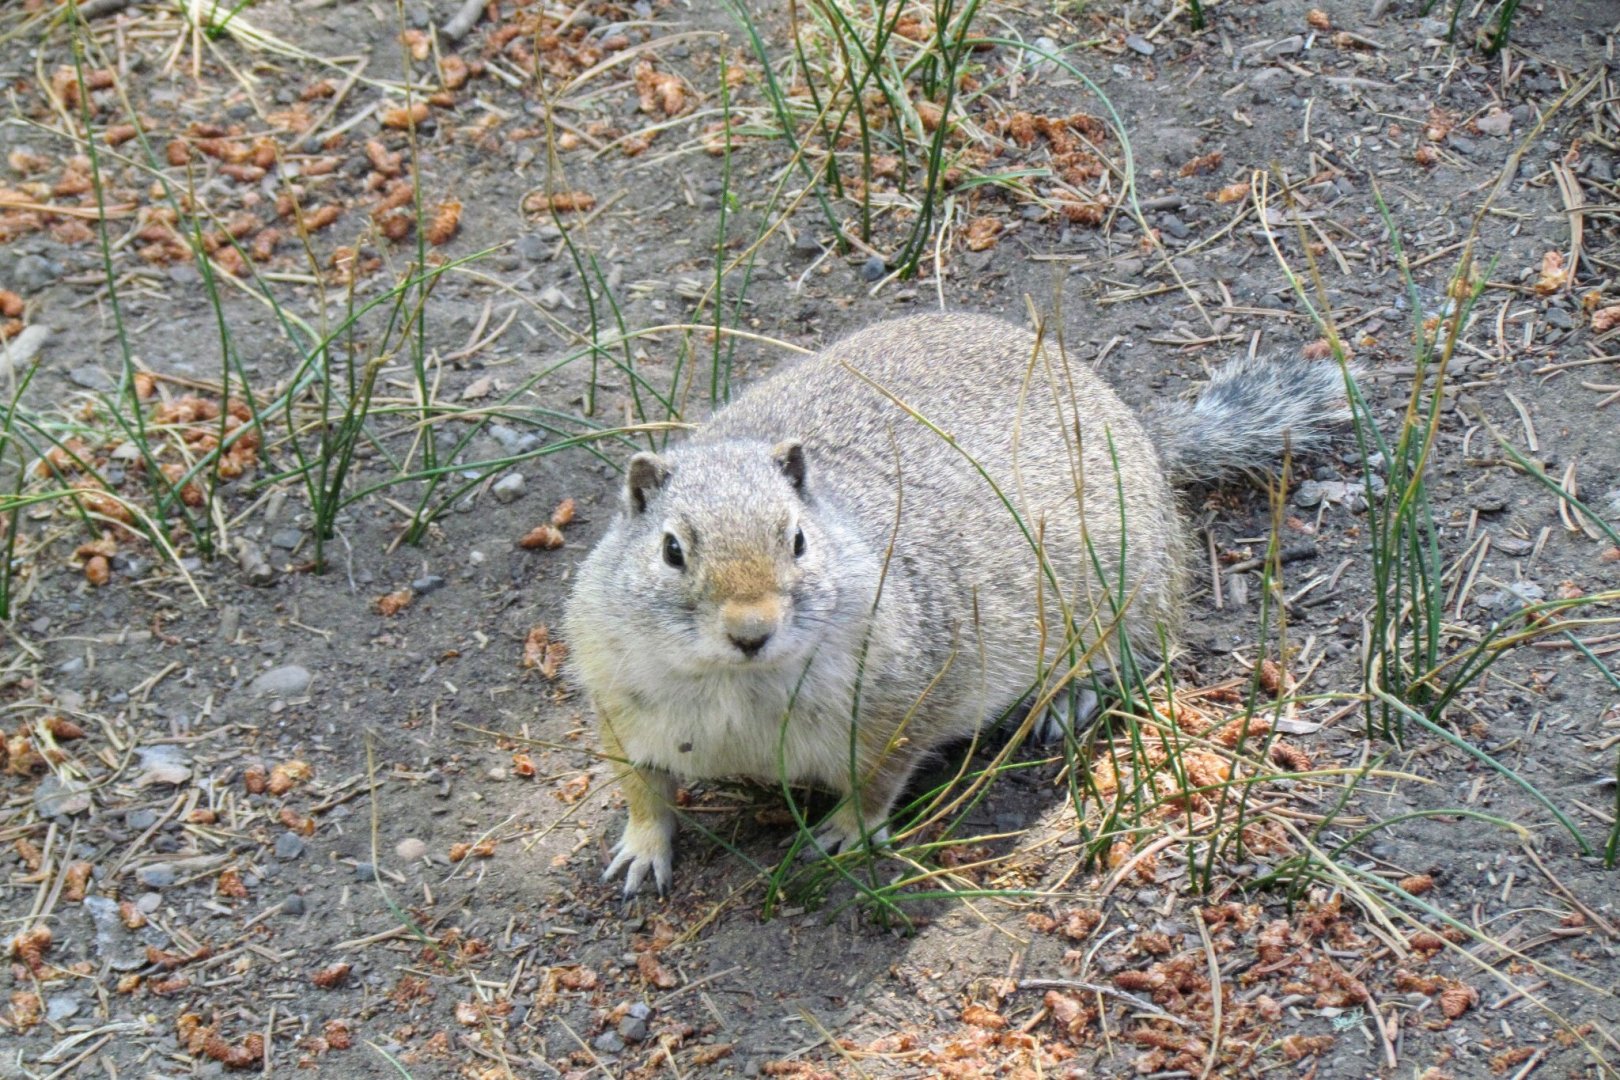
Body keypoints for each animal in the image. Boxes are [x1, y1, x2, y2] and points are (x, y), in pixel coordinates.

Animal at [563, 312, 1351, 895]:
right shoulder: (618, 699)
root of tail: (1138, 429)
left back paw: (1069, 700)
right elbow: (641, 787)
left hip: (1128, 601)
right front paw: (640, 850)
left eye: (798, 540)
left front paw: (846, 831)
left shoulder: (899, 704)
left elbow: (878, 782)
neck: (739, 687)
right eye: (671, 550)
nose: (751, 631)